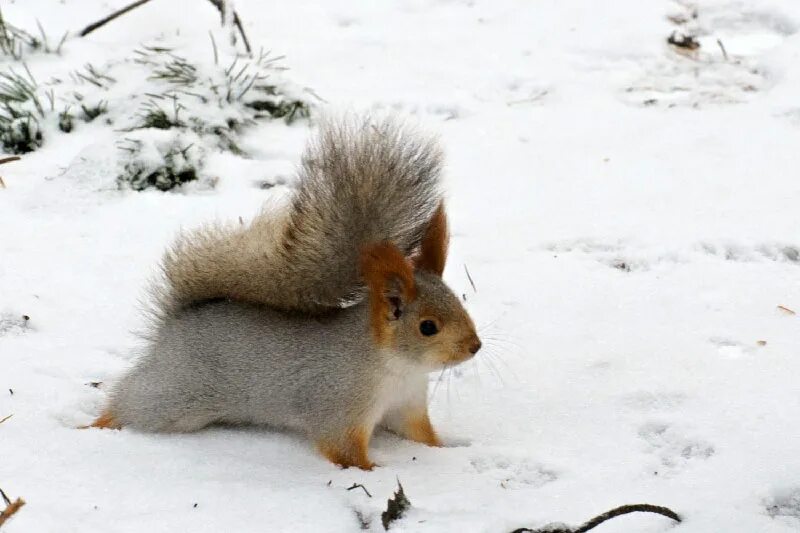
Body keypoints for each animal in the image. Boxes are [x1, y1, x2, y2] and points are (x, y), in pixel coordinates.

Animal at [93, 116, 482, 470]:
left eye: (461, 304)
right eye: (427, 327)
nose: (475, 347)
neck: (400, 367)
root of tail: (177, 319)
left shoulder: (406, 406)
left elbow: (421, 435)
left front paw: (446, 451)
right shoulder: (339, 405)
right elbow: (343, 450)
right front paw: (376, 472)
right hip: (175, 394)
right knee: (129, 401)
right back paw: (96, 426)